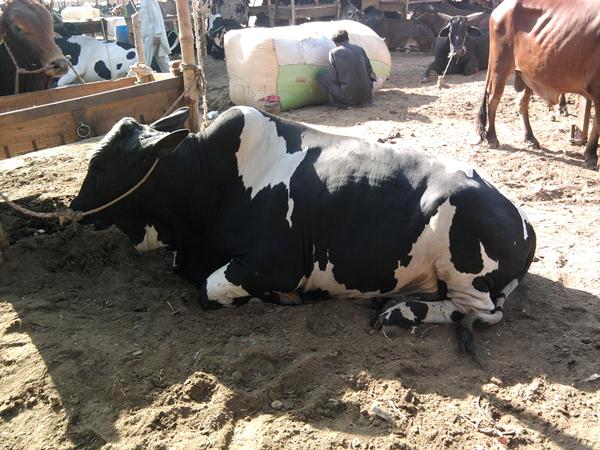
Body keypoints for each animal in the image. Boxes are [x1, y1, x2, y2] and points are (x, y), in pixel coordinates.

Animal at [70, 106, 536, 359]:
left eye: (101, 165)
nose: (74, 210)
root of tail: (521, 218)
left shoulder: (277, 265)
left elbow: (209, 289)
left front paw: (284, 299)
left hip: (464, 262)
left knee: (481, 311)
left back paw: (399, 312)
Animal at [476, 0, 600, 169]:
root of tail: (500, 8)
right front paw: (591, 154)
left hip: (528, 74)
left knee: (521, 102)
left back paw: (530, 138)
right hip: (499, 64)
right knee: (493, 99)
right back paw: (492, 138)